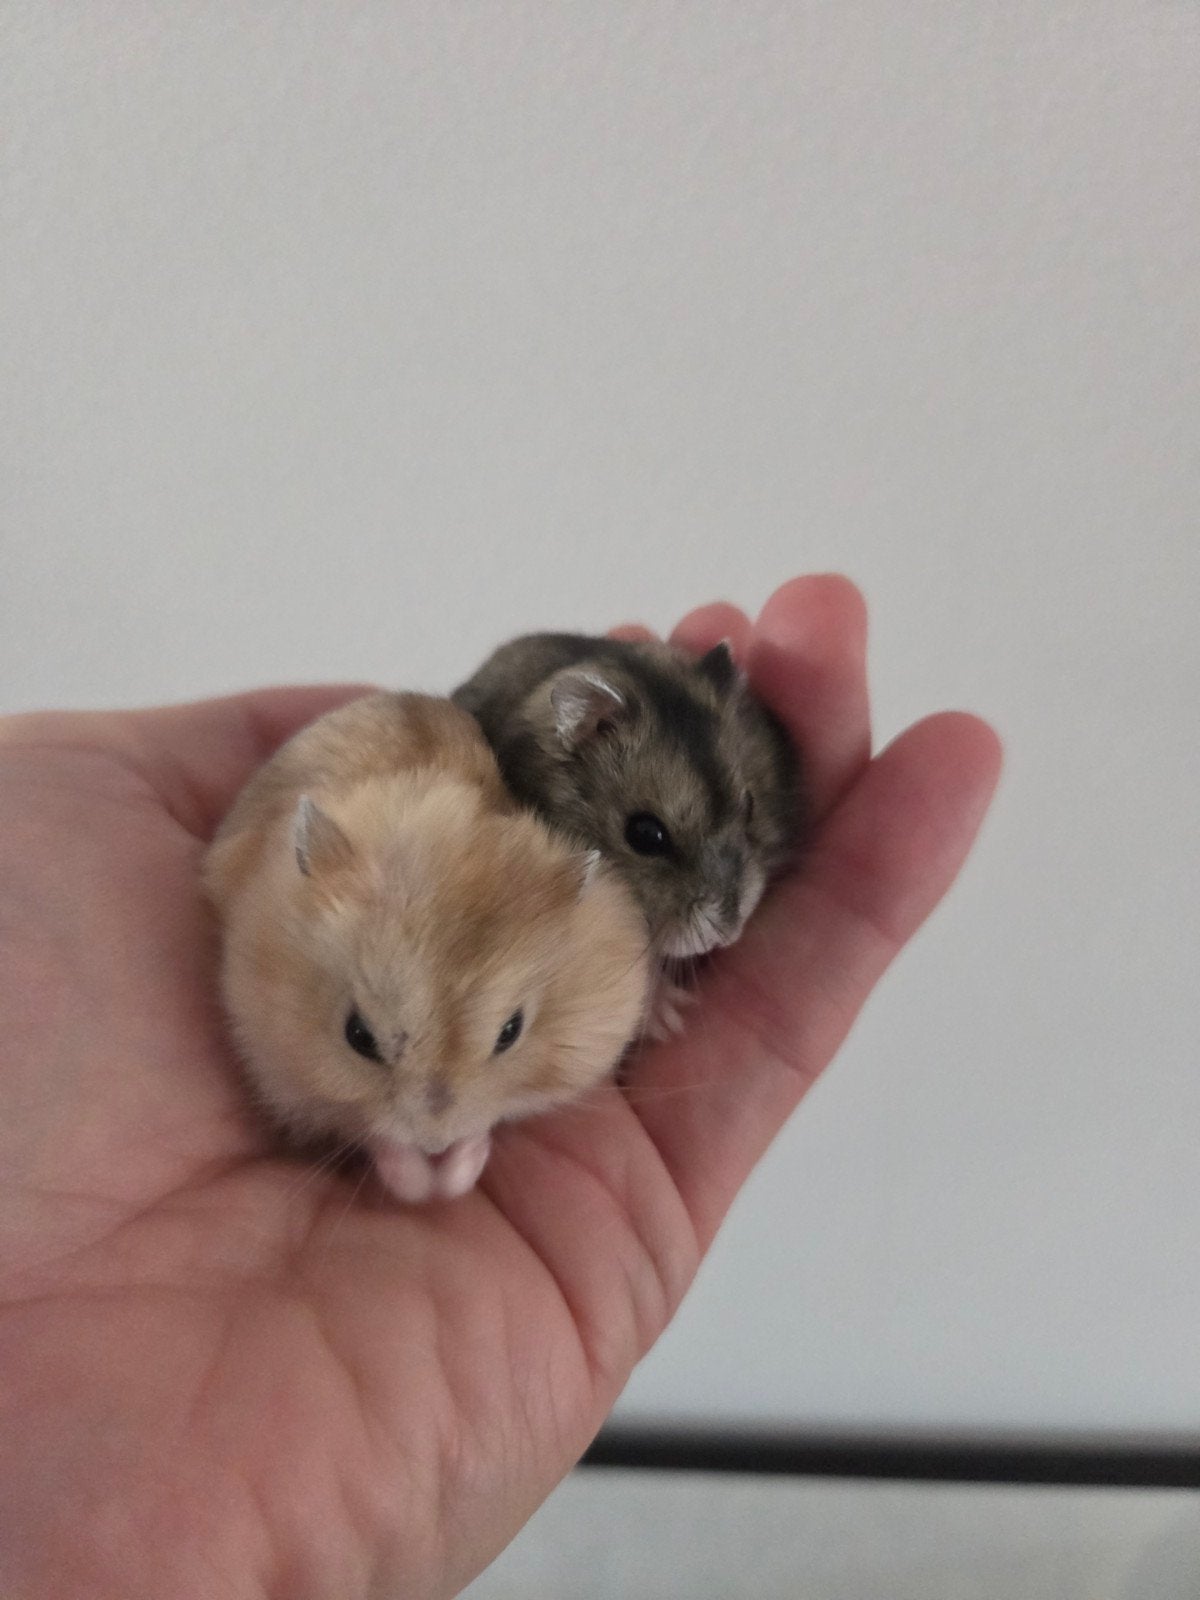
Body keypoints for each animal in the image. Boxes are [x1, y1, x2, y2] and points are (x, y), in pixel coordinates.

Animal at [203, 692, 651, 1203]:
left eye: (510, 1032)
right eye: (357, 1036)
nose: (435, 1142)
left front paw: (457, 1170)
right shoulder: (283, 1069)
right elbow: (373, 1132)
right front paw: (423, 1184)